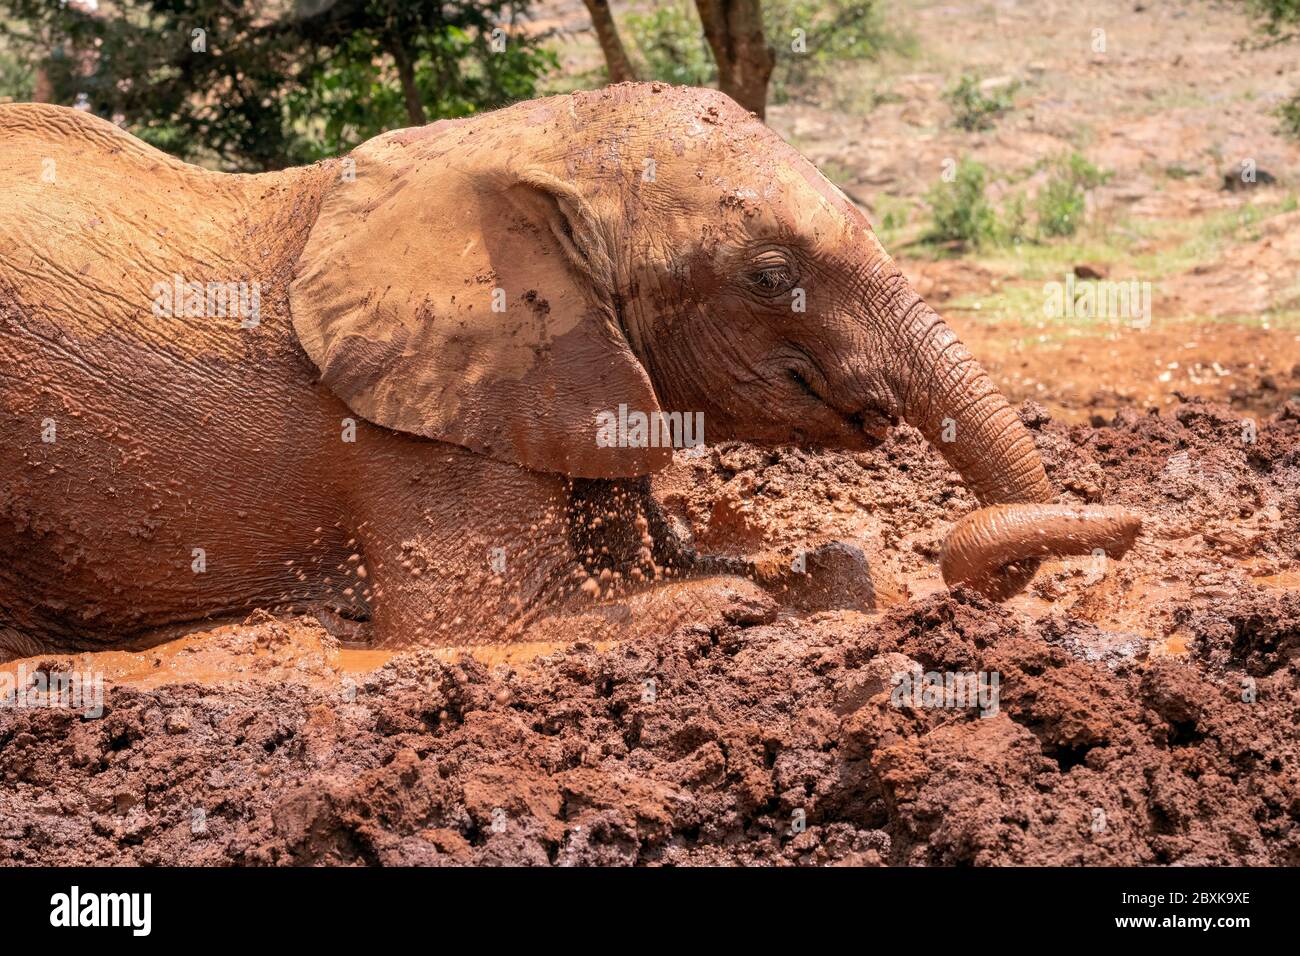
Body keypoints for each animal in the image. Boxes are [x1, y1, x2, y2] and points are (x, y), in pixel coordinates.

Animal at [0, 83, 1138, 658]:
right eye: (771, 276)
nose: (1130, 525)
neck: (524, 139)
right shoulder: (422, 424)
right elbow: (483, 628)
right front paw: (746, 606)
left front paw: (812, 570)